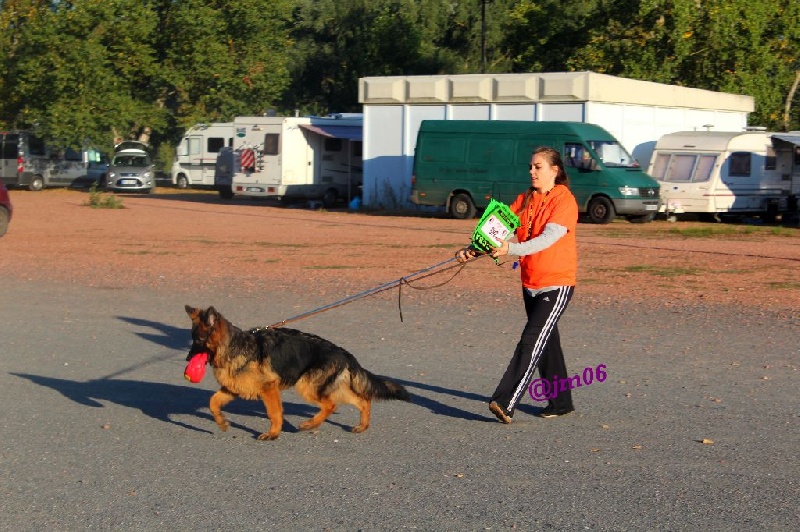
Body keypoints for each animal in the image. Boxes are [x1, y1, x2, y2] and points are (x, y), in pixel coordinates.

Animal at [184, 306, 410, 438]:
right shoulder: (233, 389)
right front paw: (221, 422)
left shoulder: (269, 389)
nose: (186, 360)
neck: (234, 346)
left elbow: (274, 413)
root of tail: (344, 353)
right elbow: (212, 402)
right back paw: (362, 426)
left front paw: (273, 434)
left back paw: (309, 424)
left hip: (307, 387)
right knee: (363, 400)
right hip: (328, 387)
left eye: (198, 340)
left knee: (330, 405)